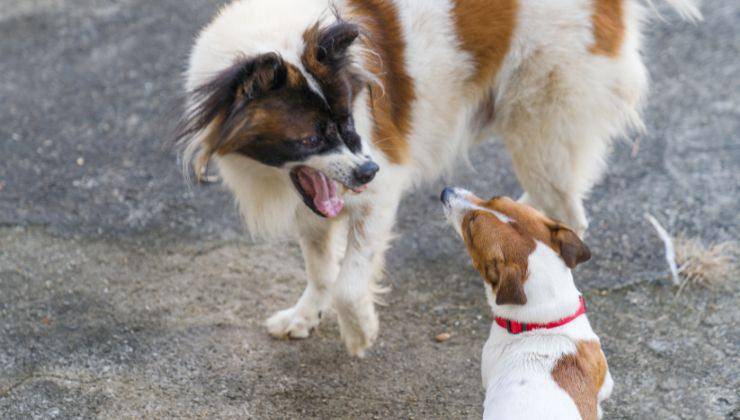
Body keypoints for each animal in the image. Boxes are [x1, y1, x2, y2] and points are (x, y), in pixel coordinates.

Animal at [178, 0, 700, 356]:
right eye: (309, 138)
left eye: (347, 121)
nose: (366, 170)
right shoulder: (316, 200)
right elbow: (322, 269)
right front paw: (306, 316)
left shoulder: (378, 187)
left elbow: (349, 280)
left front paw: (359, 330)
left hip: (539, 120)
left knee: (566, 209)